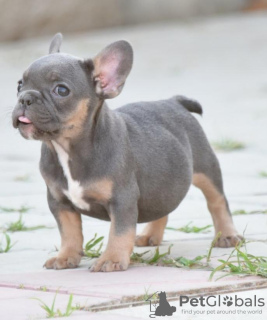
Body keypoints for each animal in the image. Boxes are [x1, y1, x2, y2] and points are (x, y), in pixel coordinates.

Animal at [12, 33, 243, 272]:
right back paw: (150, 235)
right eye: (19, 85)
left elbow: (119, 232)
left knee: (217, 200)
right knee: (164, 206)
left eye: (61, 90)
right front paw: (66, 257)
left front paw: (111, 259)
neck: (68, 148)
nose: (25, 98)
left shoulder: (122, 199)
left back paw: (227, 236)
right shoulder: (59, 202)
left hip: (206, 168)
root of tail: (174, 101)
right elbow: (69, 232)